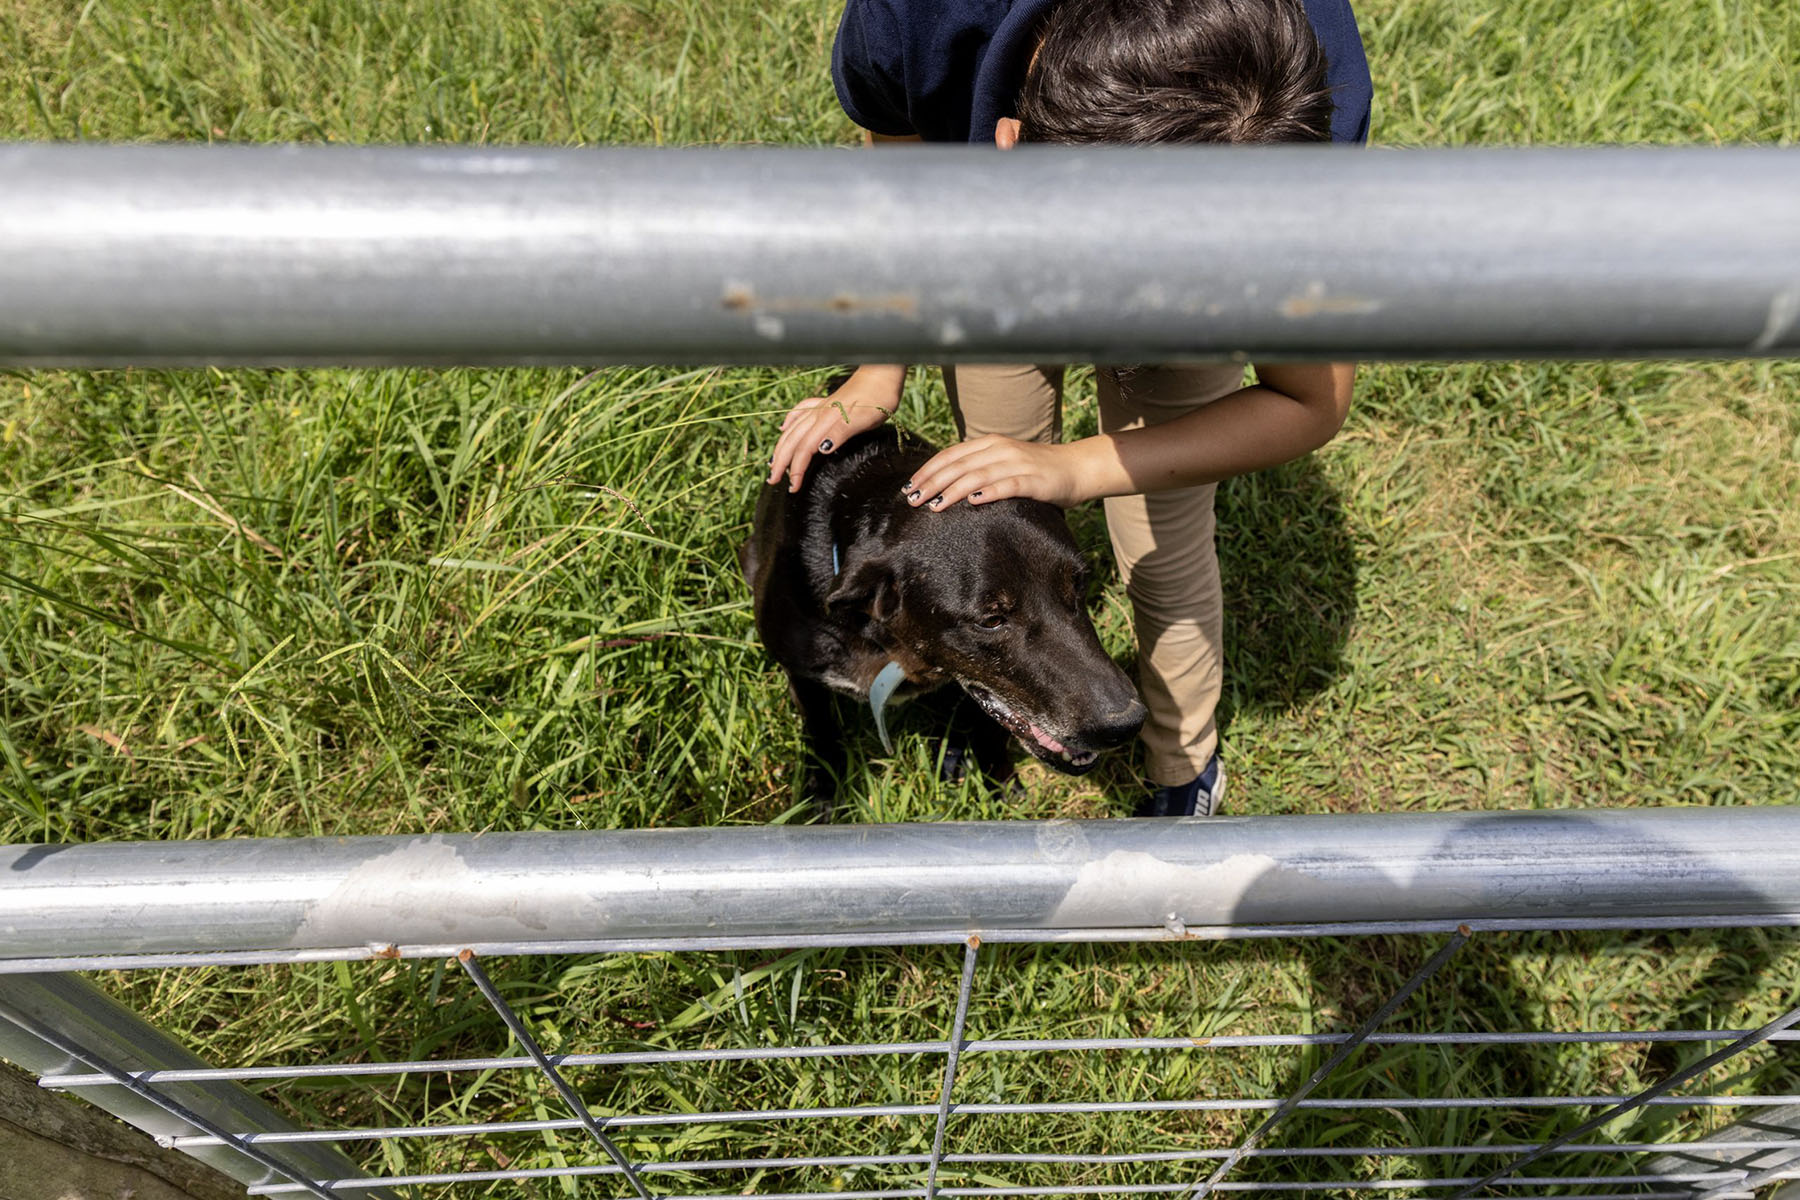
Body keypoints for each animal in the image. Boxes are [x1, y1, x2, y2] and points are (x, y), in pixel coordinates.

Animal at [741, 426, 1137, 813]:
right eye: (991, 620)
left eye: (1079, 583)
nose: (1127, 724)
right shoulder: (802, 675)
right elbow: (822, 732)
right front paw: (822, 794)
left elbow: (987, 727)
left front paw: (999, 786)